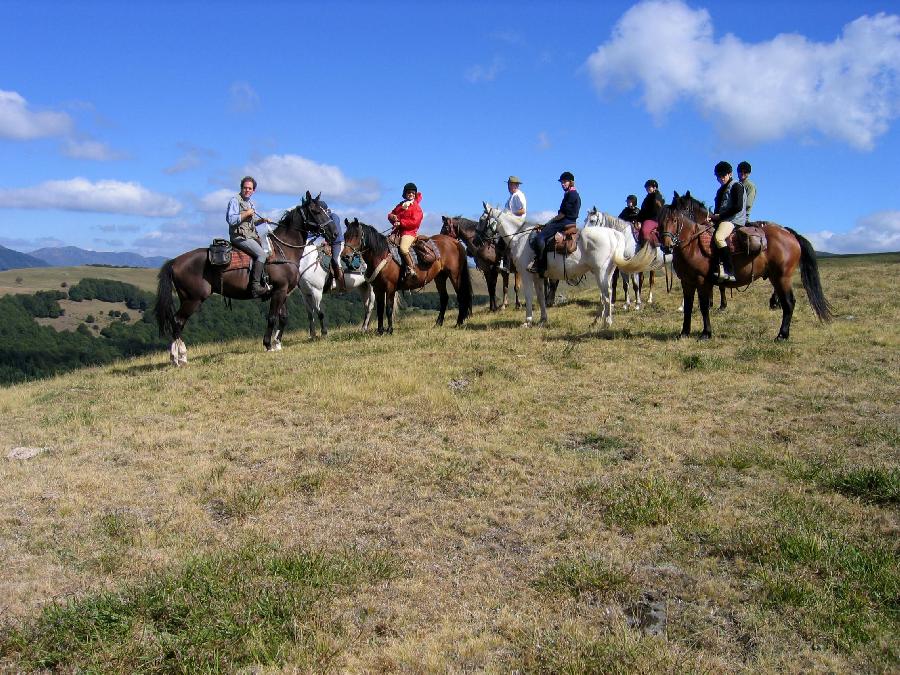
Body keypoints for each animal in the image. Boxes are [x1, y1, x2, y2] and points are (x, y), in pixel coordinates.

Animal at [155, 190, 334, 364]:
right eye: (316, 211)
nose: (333, 231)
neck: (282, 250)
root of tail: (175, 261)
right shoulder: (279, 291)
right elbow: (272, 317)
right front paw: (268, 344)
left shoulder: (282, 291)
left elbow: (283, 317)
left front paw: (277, 343)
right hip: (193, 299)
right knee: (178, 321)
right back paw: (180, 357)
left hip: (186, 298)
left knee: (176, 322)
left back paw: (177, 356)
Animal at [342, 219, 474, 336]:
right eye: (345, 235)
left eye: (356, 235)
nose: (345, 257)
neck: (381, 255)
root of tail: (455, 242)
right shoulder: (378, 289)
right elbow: (379, 310)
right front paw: (380, 331)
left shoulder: (390, 287)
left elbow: (388, 308)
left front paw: (389, 330)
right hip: (440, 277)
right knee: (444, 298)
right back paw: (438, 323)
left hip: (455, 275)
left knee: (461, 296)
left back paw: (459, 323)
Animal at [482, 202, 628, 328]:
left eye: (482, 220)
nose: (481, 240)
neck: (520, 238)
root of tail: (613, 233)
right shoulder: (537, 276)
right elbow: (540, 297)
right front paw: (542, 319)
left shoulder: (526, 274)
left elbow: (529, 296)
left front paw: (527, 321)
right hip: (607, 273)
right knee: (606, 294)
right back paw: (596, 321)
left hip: (600, 272)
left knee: (606, 294)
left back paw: (607, 322)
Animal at [656, 194, 832, 344]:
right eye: (660, 221)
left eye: (674, 220)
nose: (666, 246)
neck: (693, 245)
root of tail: (789, 233)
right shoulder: (687, 282)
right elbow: (688, 307)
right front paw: (684, 333)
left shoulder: (702, 281)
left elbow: (704, 307)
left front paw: (706, 333)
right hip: (776, 278)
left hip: (782, 277)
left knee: (789, 303)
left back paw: (782, 335)